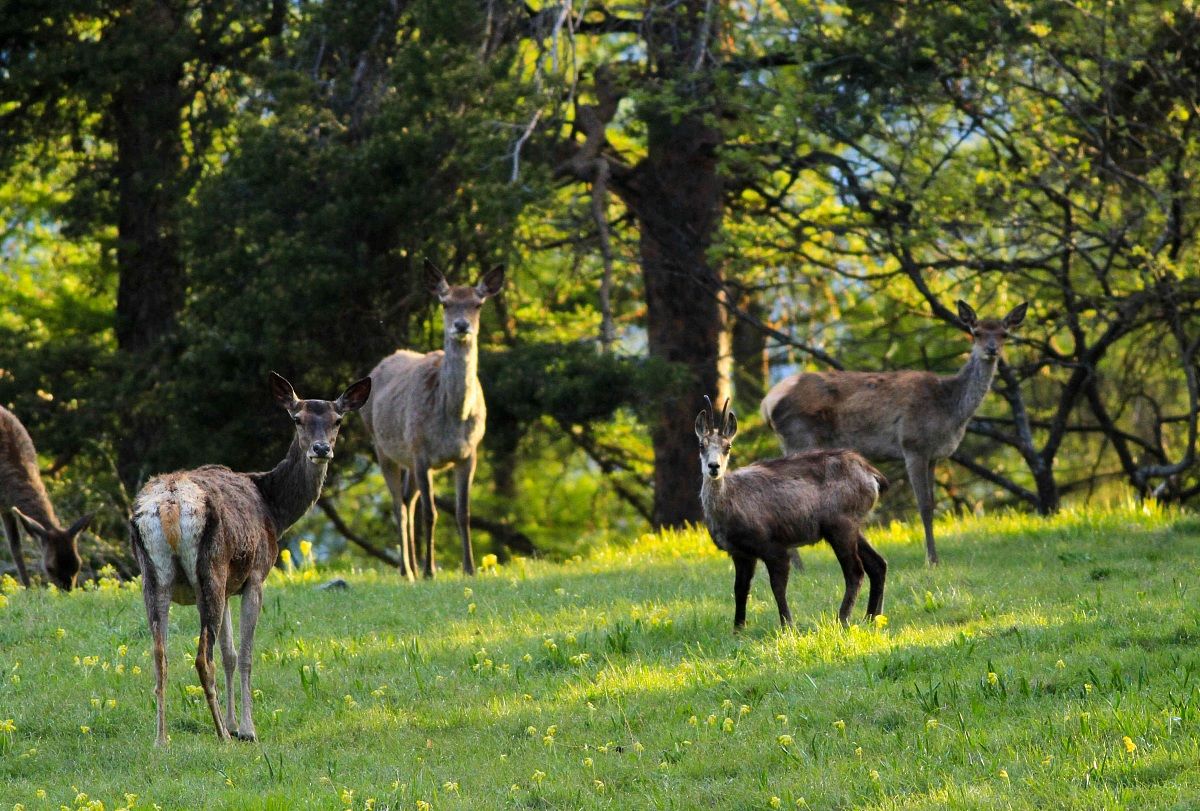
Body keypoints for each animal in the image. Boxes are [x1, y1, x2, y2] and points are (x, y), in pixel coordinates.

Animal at [0, 406, 92, 590]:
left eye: (78, 565)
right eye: (50, 567)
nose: (67, 590)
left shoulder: (6, 507)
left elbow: (16, 547)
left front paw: (28, 588)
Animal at [129, 372, 371, 745]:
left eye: (337, 420)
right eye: (297, 419)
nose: (321, 449)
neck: (273, 509)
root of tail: (170, 504)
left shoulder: (232, 584)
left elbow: (229, 654)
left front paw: (233, 723)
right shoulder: (255, 576)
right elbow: (244, 655)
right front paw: (245, 729)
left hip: (154, 576)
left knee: (160, 655)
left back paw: (161, 739)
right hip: (209, 569)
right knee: (201, 658)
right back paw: (221, 737)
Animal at [362, 262, 504, 580]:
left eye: (478, 304)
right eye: (445, 303)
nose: (461, 326)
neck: (452, 418)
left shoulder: (469, 453)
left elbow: (463, 513)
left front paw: (470, 568)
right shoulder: (420, 452)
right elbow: (431, 513)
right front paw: (430, 571)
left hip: (408, 460)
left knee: (407, 499)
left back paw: (412, 567)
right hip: (383, 447)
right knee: (398, 505)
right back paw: (408, 570)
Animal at [696, 396, 888, 629]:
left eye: (728, 446)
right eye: (701, 445)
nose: (713, 467)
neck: (731, 499)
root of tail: (871, 474)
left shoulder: (774, 548)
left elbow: (777, 587)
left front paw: (787, 625)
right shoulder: (741, 554)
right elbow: (740, 589)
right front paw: (738, 629)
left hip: (840, 528)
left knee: (855, 572)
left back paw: (842, 619)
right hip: (852, 528)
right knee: (878, 565)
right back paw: (872, 618)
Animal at [761, 300, 1027, 566]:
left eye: (1004, 334)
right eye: (976, 332)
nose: (992, 350)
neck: (950, 411)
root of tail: (767, 402)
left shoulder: (934, 455)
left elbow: (931, 503)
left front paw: (934, 557)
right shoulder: (913, 444)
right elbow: (924, 505)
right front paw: (931, 560)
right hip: (801, 436)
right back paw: (798, 565)